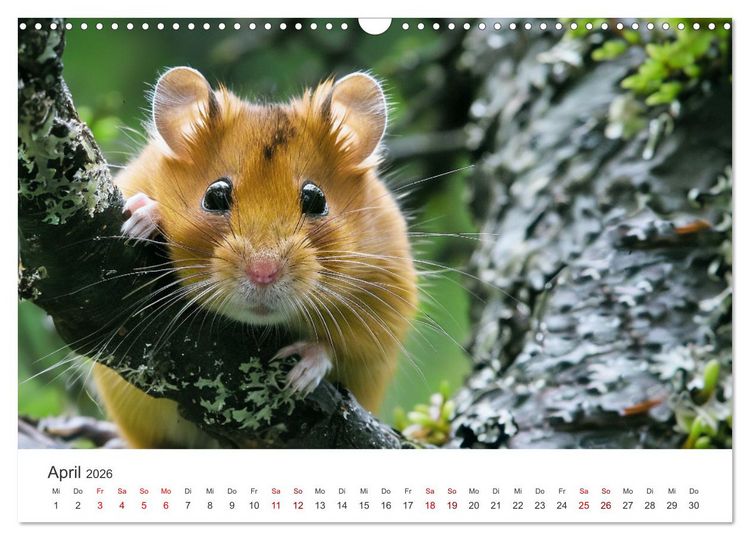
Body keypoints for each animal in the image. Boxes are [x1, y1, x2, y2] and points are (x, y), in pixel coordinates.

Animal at [92, 67, 419, 448]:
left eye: (316, 199)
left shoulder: (385, 307)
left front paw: (300, 374)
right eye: (214, 195)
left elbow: (336, 349)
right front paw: (144, 216)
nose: (263, 273)